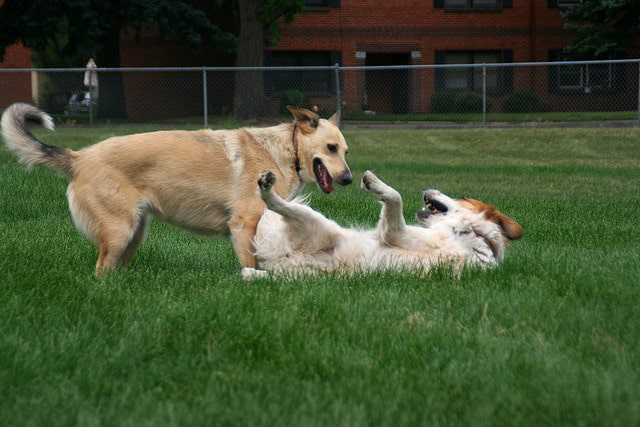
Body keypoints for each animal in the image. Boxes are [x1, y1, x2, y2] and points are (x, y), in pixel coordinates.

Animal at [1, 102, 350, 272]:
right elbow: (251, 263)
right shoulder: (243, 225)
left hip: (134, 235)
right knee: (100, 271)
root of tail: (79, 157)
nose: (348, 179)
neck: (286, 150)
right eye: (331, 148)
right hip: (120, 232)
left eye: (345, 151)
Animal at [240, 171, 520, 280]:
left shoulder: (395, 233)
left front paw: (374, 182)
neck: (470, 238)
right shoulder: (396, 233)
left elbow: (395, 197)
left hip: (309, 263)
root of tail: (284, 256)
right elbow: (396, 197)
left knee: (275, 206)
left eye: (462, 196)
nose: (429, 188)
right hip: (314, 223)